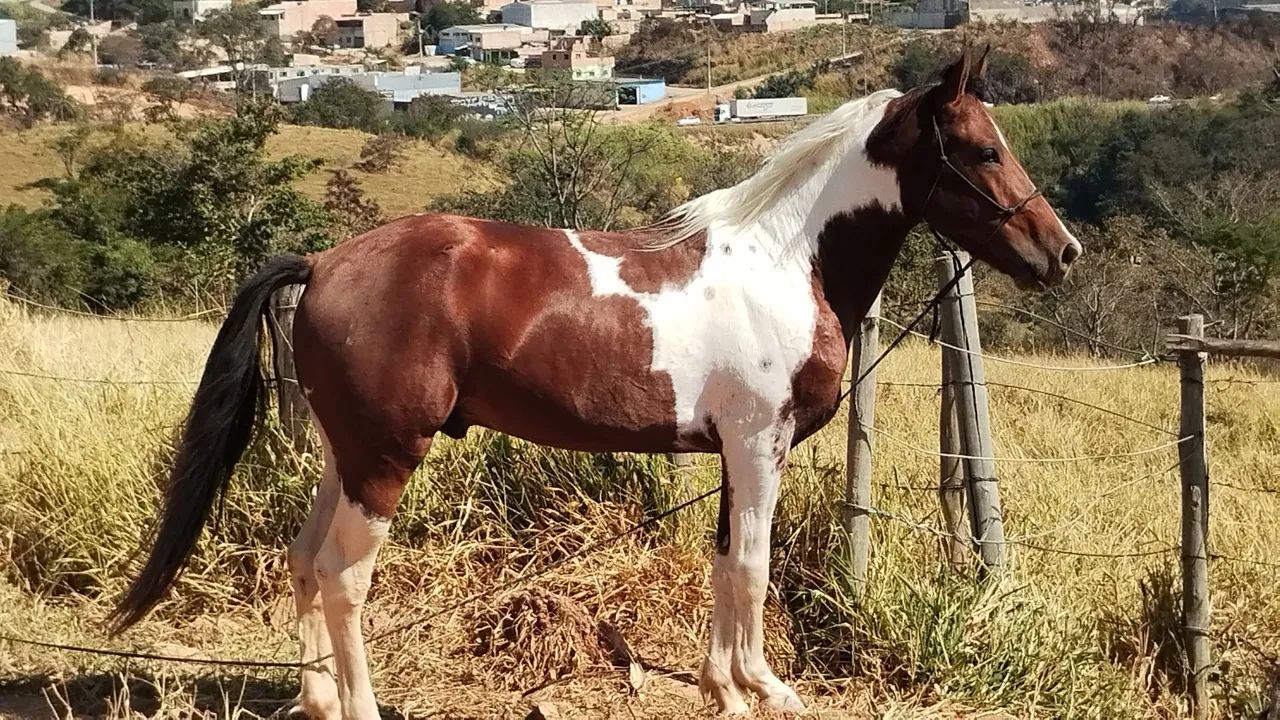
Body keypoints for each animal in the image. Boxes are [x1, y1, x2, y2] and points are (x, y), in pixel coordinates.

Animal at [110, 47, 1080, 712]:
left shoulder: (733, 454)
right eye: (980, 149)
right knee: (347, 579)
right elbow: (754, 568)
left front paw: (724, 688)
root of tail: (322, 261)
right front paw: (766, 688)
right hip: (385, 458)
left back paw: (315, 697)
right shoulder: (757, 447)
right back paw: (361, 705)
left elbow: (723, 564)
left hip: (343, 456)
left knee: (306, 561)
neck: (784, 260)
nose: (1061, 252)